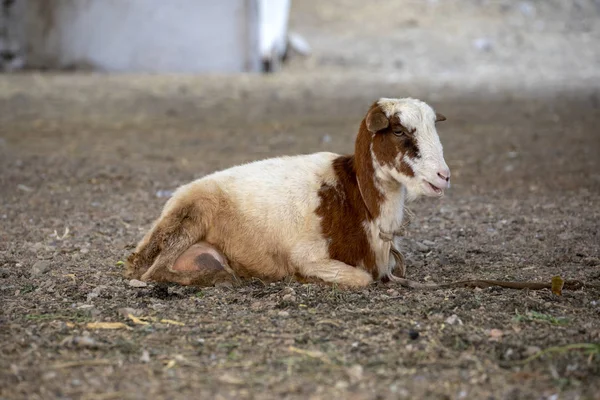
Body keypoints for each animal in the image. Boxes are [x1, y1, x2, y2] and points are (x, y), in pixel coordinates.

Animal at [127, 97, 454, 288]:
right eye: (398, 131)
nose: (444, 176)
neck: (359, 200)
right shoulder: (309, 256)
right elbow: (361, 278)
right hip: (192, 214)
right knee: (154, 272)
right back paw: (222, 277)